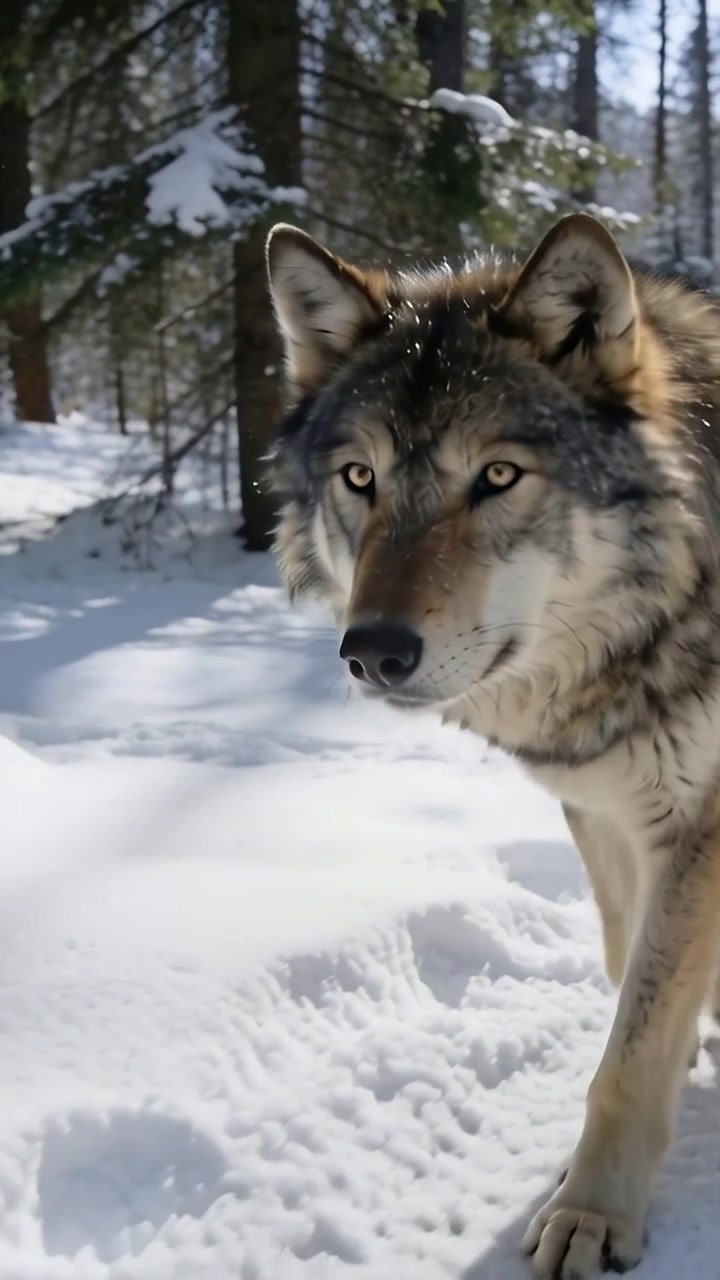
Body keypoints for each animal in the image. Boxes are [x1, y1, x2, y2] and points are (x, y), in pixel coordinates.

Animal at [264, 210, 720, 1278]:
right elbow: (628, 976)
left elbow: (632, 1045)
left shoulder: (699, 821)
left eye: (498, 476)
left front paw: (591, 1214)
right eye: (361, 478)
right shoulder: (605, 805)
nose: (374, 650)